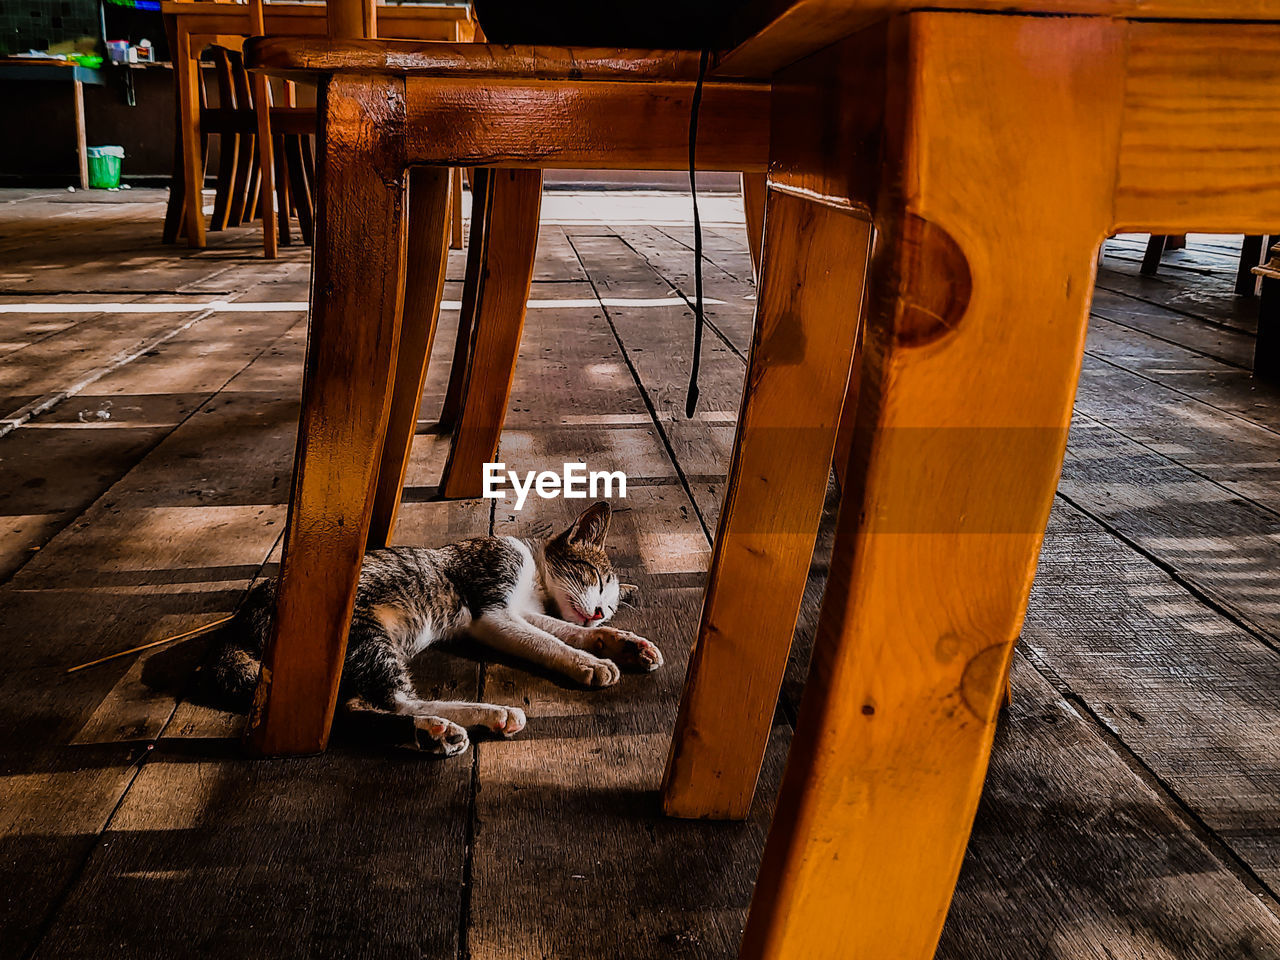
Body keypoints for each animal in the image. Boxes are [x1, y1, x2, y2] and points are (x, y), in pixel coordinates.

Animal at [202, 504, 660, 757]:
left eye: (611, 606)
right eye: (595, 579)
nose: (598, 613)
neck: (535, 581)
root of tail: (237, 627)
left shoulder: (519, 613)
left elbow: (558, 630)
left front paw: (621, 644)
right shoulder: (492, 612)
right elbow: (547, 641)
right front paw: (591, 663)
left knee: (351, 709)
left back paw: (440, 734)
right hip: (365, 634)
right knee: (391, 700)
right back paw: (474, 718)